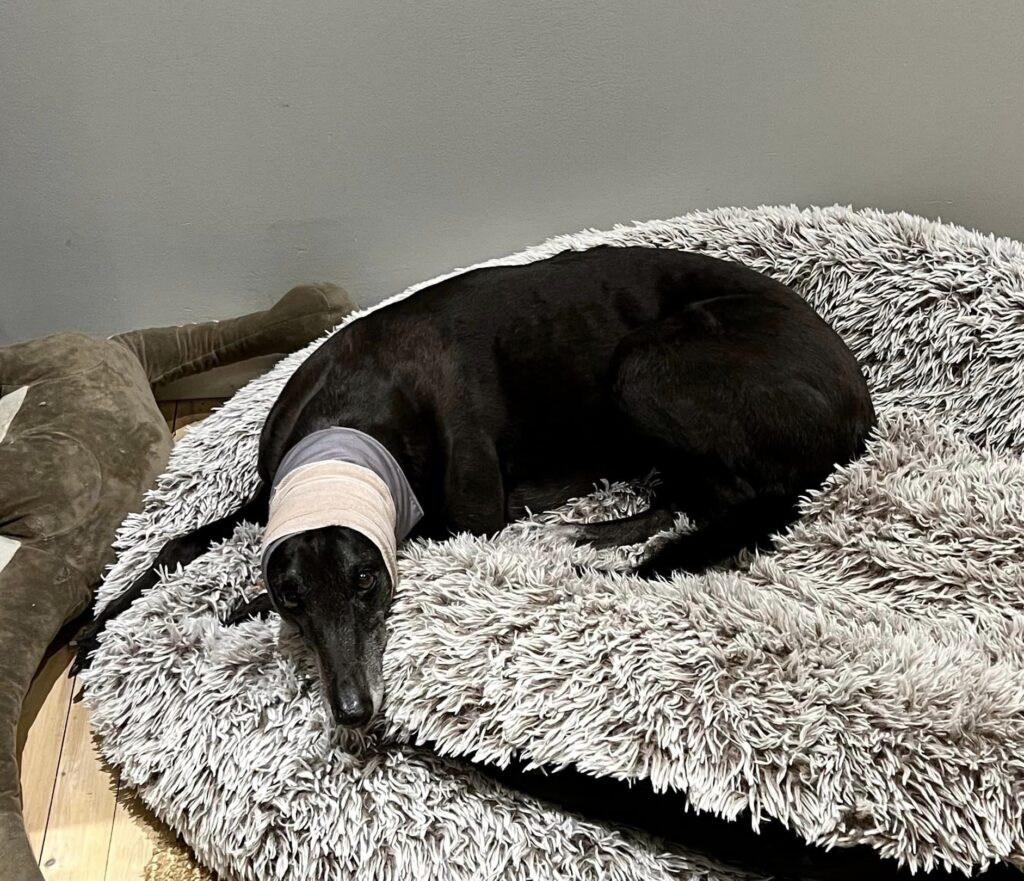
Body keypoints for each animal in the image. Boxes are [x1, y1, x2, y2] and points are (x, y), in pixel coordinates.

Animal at [74, 244, 872, 725]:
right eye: (294, 595)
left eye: (367, 579)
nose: (355, 711)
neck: (352, 407)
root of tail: (862, 408)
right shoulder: (277, 487)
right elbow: (179, 542)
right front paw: (99, 621)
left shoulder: (463, 516)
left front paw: (229, 608)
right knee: (688, 497)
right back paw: (599, 534)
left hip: (646, 365)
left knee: (730, 502)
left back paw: (624, 556)